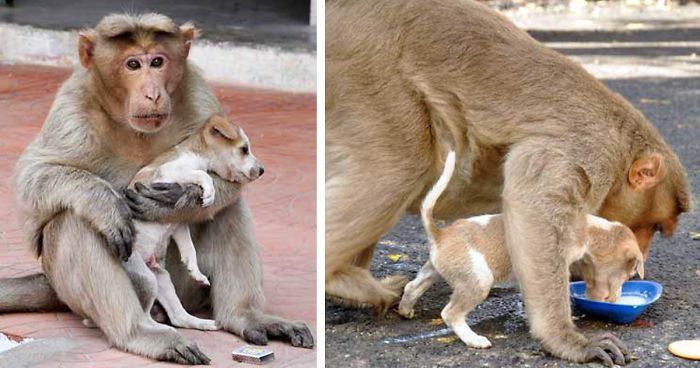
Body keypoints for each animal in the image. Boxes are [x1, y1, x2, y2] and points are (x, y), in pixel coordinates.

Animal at [118, 115, 266, 330]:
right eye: (244, 149)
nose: (262, 170)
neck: (197, 154)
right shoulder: (169, 170)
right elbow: (202, 175)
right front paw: (209, 193)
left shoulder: (178, 223)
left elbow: (189, 248)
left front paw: (195, 270)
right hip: (146, 278)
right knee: (143, 315)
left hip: (162, 279)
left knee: (178, 317)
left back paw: (205, 324)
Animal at [400, 151, 644, 350]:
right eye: (630, 273)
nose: (615, 299)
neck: (590, 230)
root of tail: (440, 234)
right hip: (478, 280)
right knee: (450, 314)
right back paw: (474, 339)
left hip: (434, 270)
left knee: (412, 287)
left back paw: (405, 310)